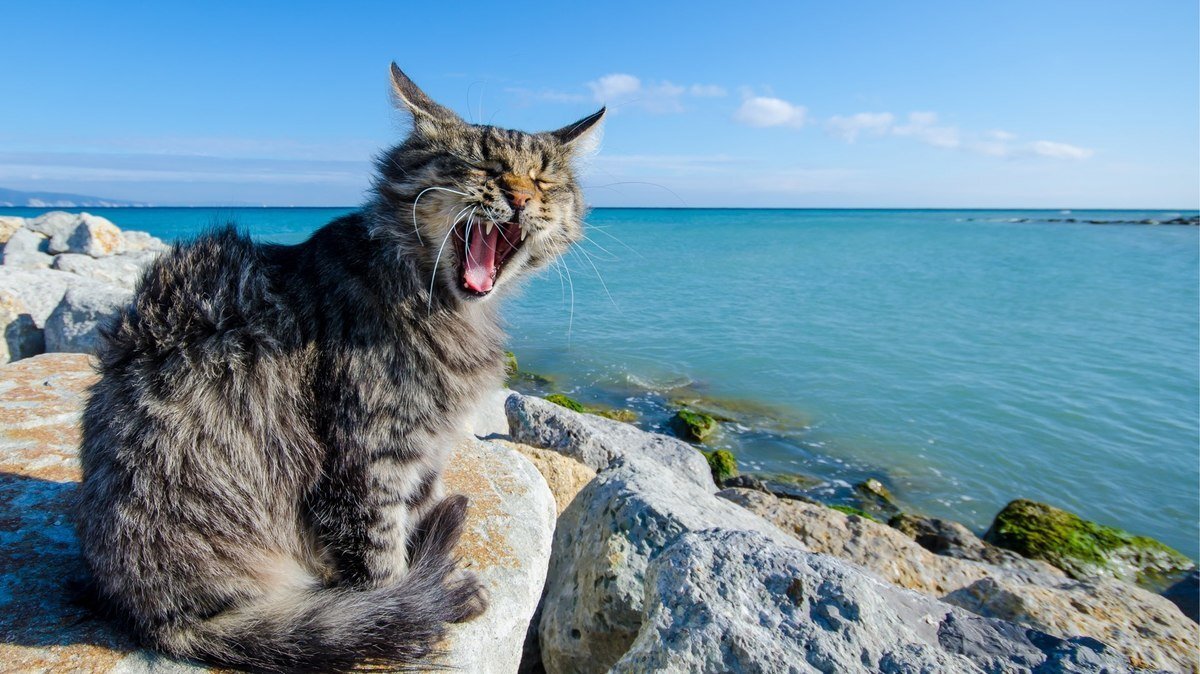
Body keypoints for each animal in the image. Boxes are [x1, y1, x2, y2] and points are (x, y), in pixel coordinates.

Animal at [71, 64, 604, 671]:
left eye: (542, 181)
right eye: (484, 168)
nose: (518, 196)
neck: (439, 301)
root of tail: (155, 619)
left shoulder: (425, 451)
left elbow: (417, 512)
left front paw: (434, 578)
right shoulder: (368, 457)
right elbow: (379, 558)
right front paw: (408, 604)